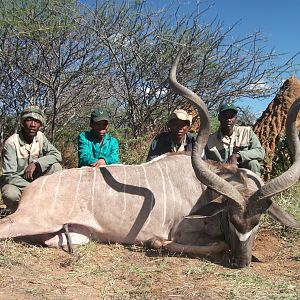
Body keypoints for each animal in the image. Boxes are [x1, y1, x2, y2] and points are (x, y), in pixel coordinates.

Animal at [0, 54, 298, 270]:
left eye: (257, 221)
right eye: (230, 218)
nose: (241, 262)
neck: (203, 190)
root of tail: (32, 189)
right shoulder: (181, 230)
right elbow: (217, 244)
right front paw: (157, 244)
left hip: (72, 235)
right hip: (31, 220)